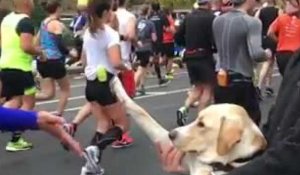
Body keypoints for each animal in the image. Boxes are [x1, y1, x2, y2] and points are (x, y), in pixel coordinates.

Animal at [110, 78, 268, 175]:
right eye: (198, 119)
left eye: (202, 124)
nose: (171, 134)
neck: (218, 165)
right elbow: (138, 110)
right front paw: (117, 84)